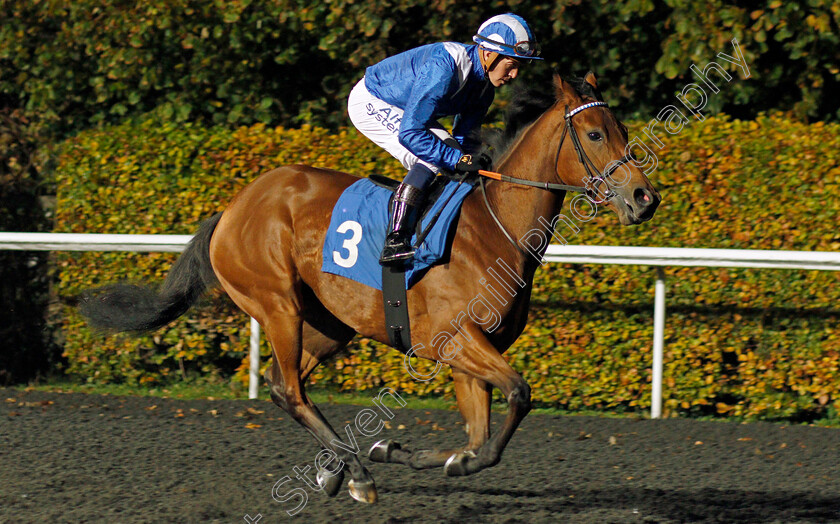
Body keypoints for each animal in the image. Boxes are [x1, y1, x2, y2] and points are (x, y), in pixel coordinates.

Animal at [80, 72, 656, 504]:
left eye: (622, 127)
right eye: (595, 134)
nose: (643, 198)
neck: (494, 229)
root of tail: (232, 209)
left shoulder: (469, 352)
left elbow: (477, 437)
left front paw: (414, 454)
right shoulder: (454, 340)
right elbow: (516, 399)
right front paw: (421, 460)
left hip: (330, 324)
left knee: (284, 383)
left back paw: (339, 467)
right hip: (277, 304)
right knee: (288, 389)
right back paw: (354, 473)